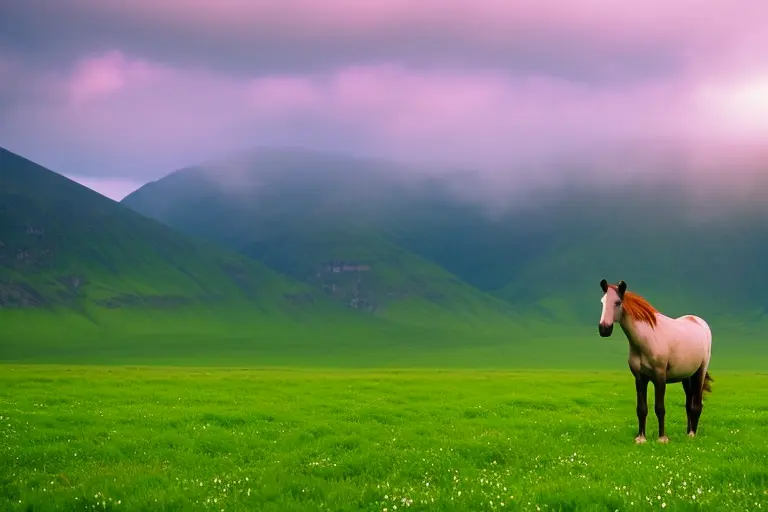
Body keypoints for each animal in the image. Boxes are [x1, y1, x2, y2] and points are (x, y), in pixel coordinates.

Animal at [598, 279, 713, 444]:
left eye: (618, 302)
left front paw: (662, 438)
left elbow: (660, 408)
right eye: (602, 301)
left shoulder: (660, 377)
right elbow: (641, 408)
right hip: (686, 377)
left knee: (697, 404)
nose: (604, 329)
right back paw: (687, 432)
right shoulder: (640, 378)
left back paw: (692, 434)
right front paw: (641, 438)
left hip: (700, 372)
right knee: (688, 404)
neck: (646, 339)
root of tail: (698, 321)